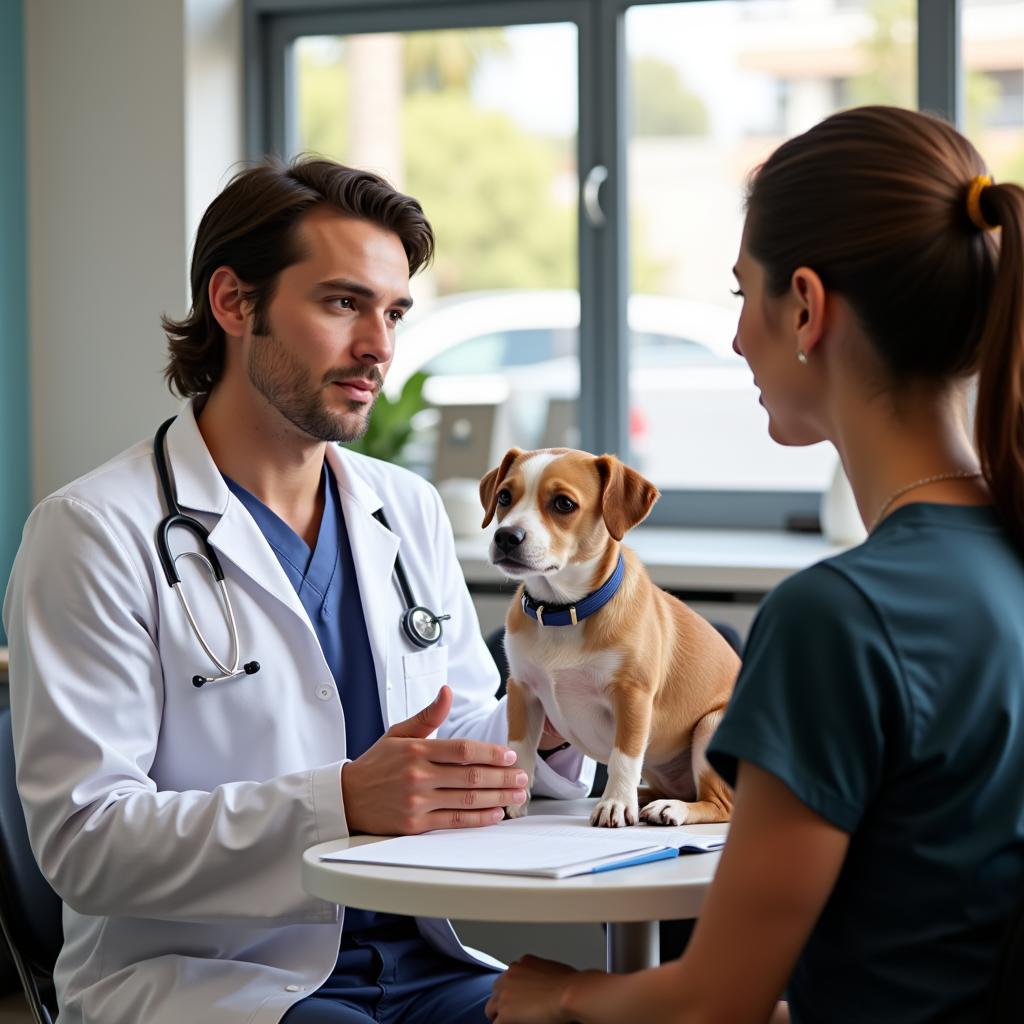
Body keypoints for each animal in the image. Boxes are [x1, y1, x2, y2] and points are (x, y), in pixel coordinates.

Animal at [483, 450, 741, 831]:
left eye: (563, 503)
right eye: (504, 497)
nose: (506, 536)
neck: (563, 610)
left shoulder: (632, 695)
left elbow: (624, 756)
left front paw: (616, 803)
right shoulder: (522, 690)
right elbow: (521, 750)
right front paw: (512, 799)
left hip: (711, 726)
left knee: (720, 805)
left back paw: (671, 808)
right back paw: (647, 799)